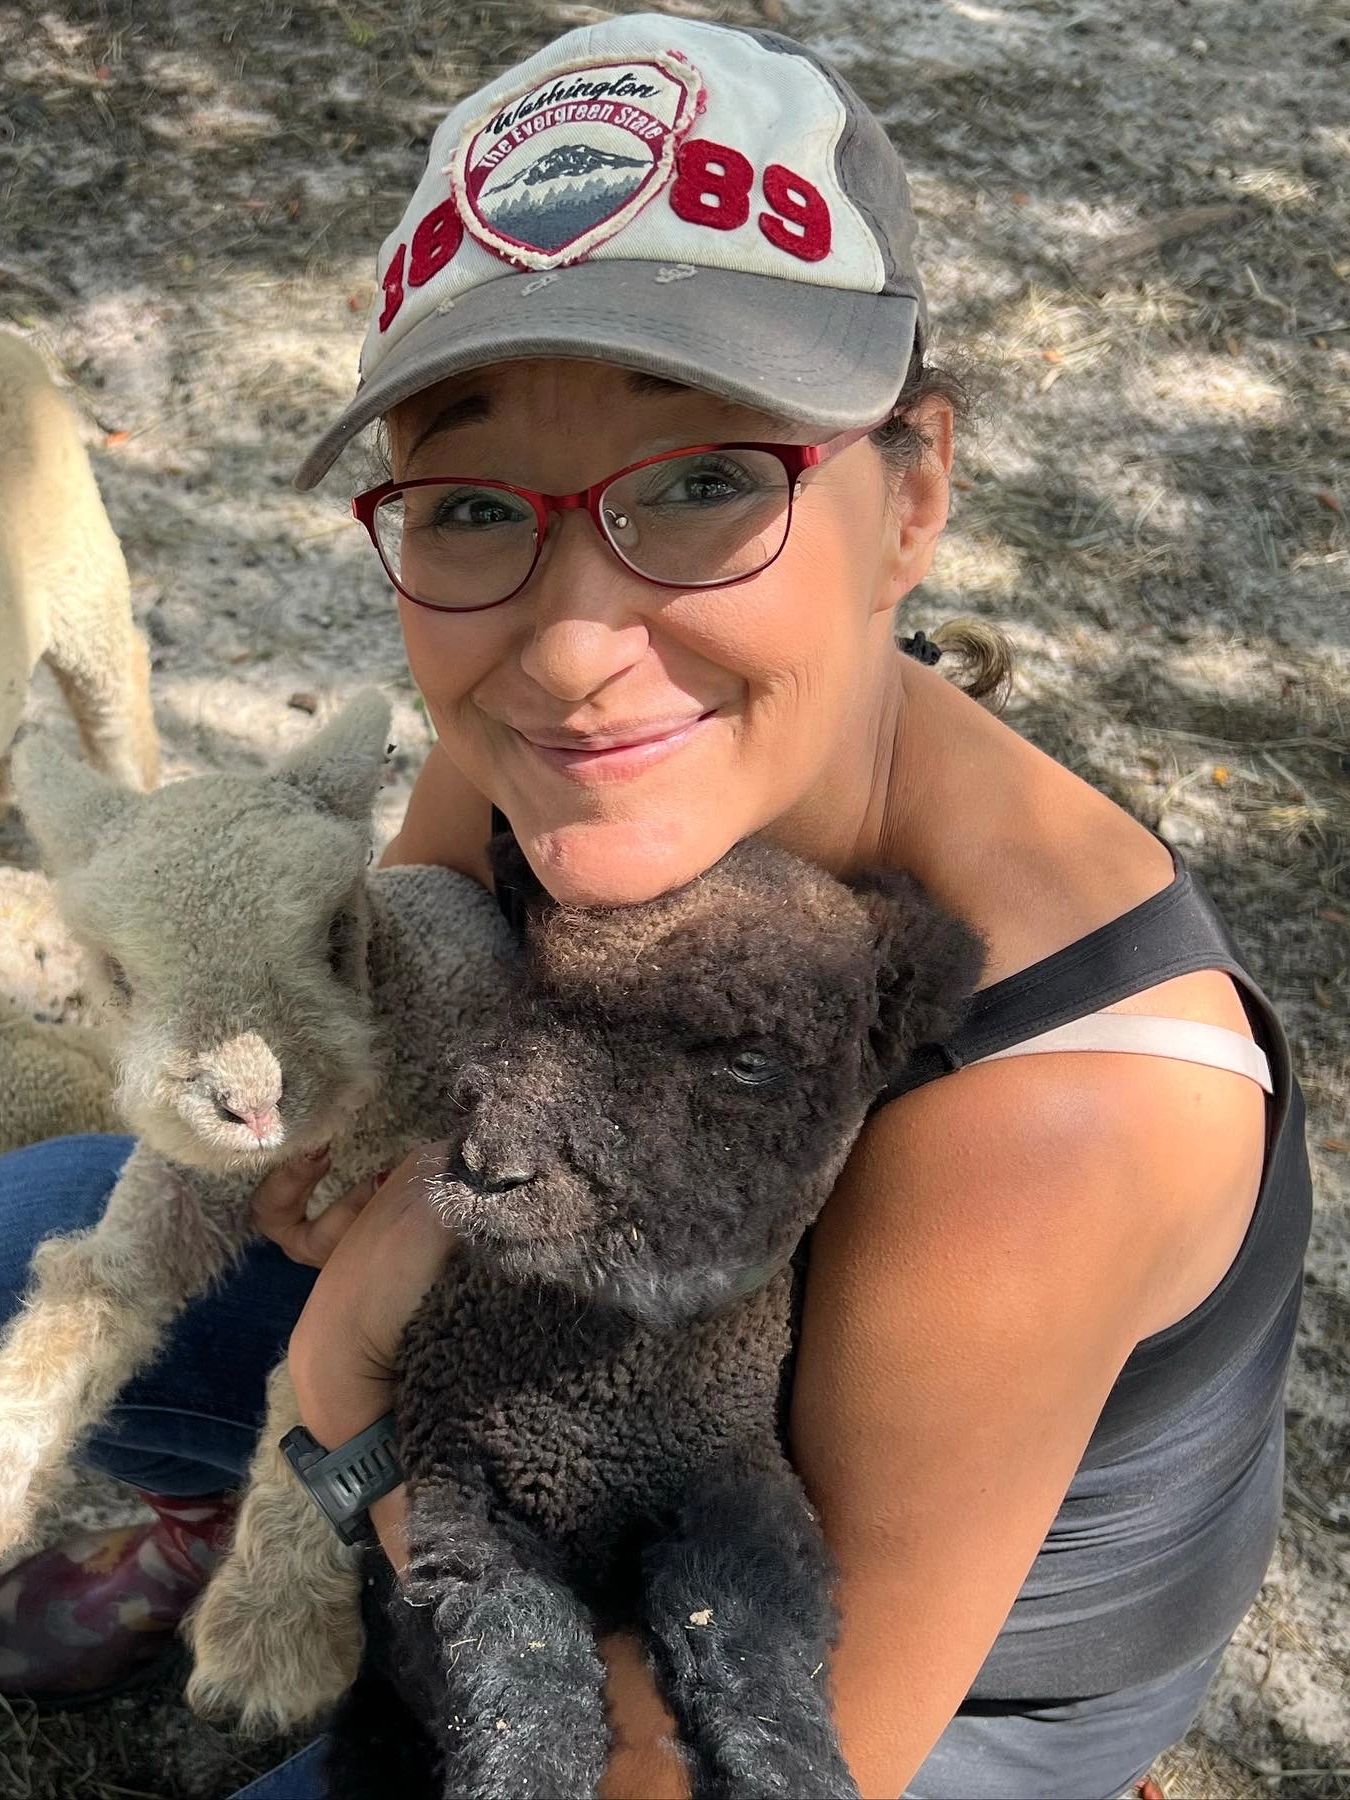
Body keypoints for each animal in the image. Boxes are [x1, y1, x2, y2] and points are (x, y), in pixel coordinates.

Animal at [2, 687, 511, 1728]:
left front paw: (271, 1638)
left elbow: (304, 1379)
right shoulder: (176, 1187)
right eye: (118, 976)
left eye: (335, 933)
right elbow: (85, 1296)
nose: (253, 1103)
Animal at [327, 838, 986, 1800]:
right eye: (533, 983)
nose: (488, 1165)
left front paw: (792, 1777)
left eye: (752, 1060)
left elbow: (753, 1649)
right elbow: (522, 1676)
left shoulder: (734, 1479)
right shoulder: (460, 1482)